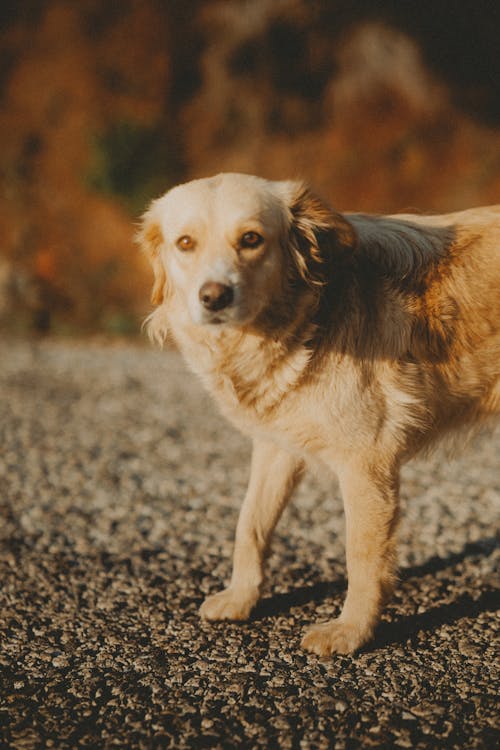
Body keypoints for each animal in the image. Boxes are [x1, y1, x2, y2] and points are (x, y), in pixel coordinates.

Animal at [138, 173, 500, 656]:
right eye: (185, 243)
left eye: (251, 239)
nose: (214, 297)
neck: (307, 316)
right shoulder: (275, 447)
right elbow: (250, 525)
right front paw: (241, 598)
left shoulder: (367, 463)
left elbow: (362, 555)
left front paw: (352, 631)